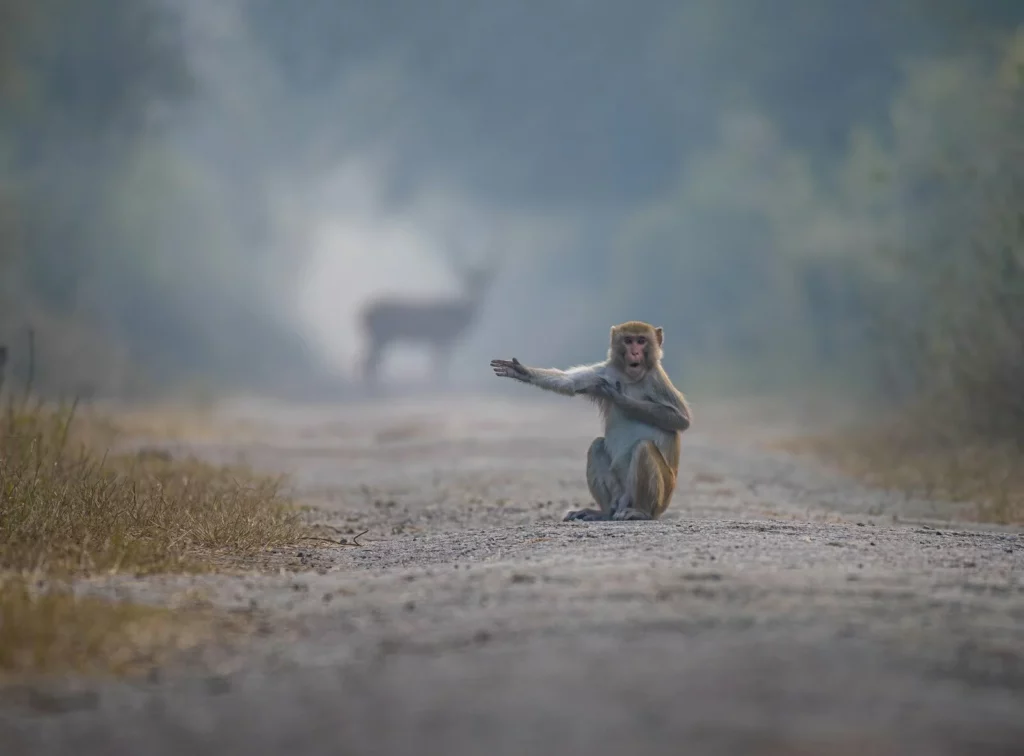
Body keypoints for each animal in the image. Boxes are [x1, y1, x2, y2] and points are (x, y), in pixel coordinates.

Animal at [360, 260, 499, 389]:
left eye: (483, 281)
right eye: (468, 280)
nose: (477, 293)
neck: (459, 316)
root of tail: (361, 315)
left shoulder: (437, 340)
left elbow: (437, 363)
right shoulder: (442, 337)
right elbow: (440, 363)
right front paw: (441, 383)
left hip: (379, 338)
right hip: (381, 335)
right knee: (368, 362)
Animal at [491, 317, 692, 518]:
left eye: (641, 341)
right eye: (628, 341)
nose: (634, 352)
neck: (630, 377)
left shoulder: (657, 379)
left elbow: (680, 419)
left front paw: (620, 398)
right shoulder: (604, 372)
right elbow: (570, 383)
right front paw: (521, 371)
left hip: (661, 498)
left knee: (644, 448)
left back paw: (640, 512)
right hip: (621, 494)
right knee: (596, 446)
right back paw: (604, 513)